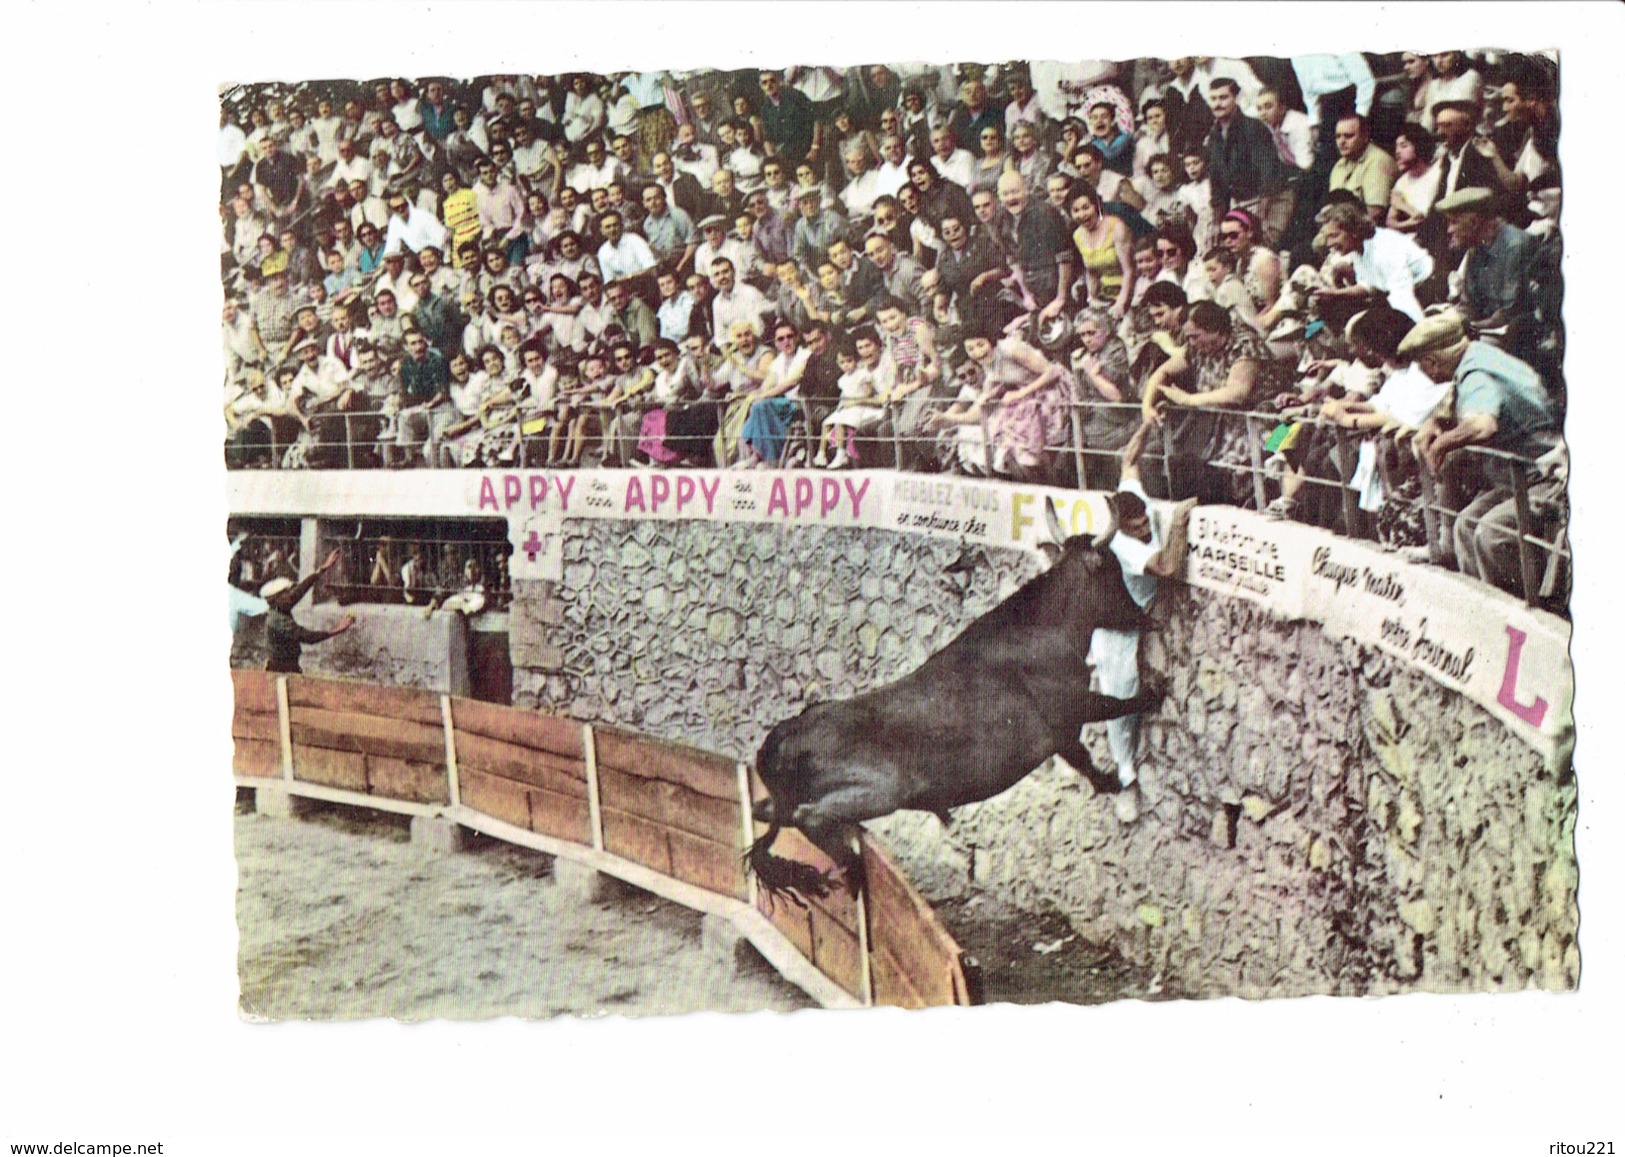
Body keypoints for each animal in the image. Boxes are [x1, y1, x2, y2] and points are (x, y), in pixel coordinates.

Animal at [744, 513, 1163, 903]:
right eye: (1114, 571)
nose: (1146, 616)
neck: (1044, 631)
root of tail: (786, 735)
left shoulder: (1064, 732)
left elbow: (1084, 756)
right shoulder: (1073, 714)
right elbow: (1107, 722)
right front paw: (1147, 713)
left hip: (796, 801)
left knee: (764, 812)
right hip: (882, 790)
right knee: (808, 816)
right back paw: (853, 868)